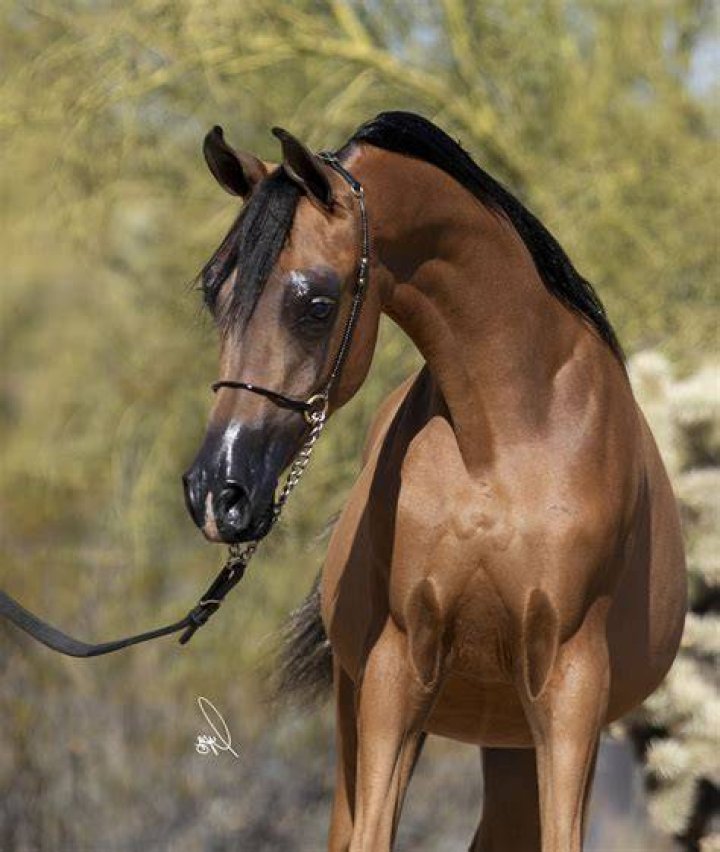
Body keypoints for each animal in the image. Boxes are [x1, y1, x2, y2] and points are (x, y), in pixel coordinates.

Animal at [183, 111, 687, 852]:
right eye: (214, 293)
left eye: (317, 304)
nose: (217, 491)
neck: (506, 439)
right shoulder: (397, 671)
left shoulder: (571, 688)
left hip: (519, 745)